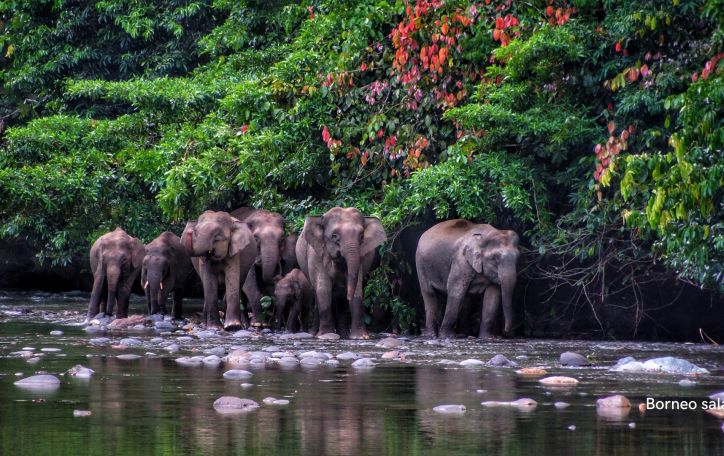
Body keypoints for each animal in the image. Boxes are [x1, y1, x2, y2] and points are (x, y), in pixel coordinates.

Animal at [296, 207, 388, 338]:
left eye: (361, 236)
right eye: (334, 236)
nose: (348, 296)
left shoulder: (361, 257)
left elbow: (357, 289)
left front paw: (360, 337)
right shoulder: (316, 254)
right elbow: (323, 289)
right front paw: (327, 336)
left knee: (341, 301)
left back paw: (343, 335)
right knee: (317, 293)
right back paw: (314, 334)